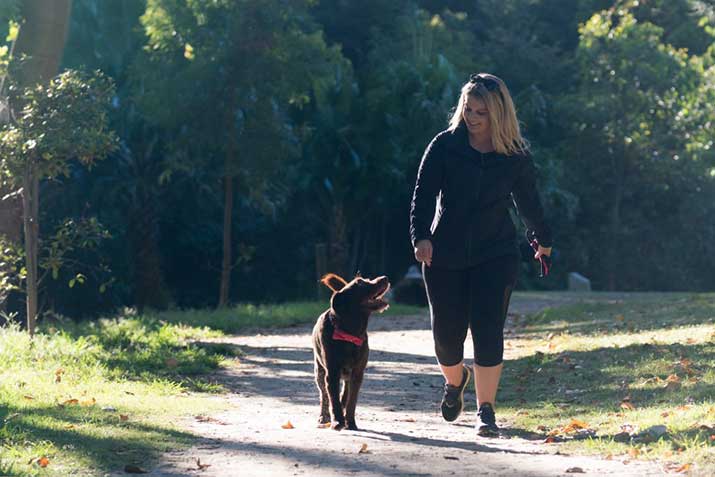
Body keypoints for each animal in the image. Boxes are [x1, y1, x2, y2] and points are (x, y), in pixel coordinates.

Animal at [314, 272, 392, 432]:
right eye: (360, 283)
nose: (385, 278)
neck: (350, 332)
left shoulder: (357, 374)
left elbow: (351, 402)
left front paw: (350, 422)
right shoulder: (332, 373)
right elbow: (333, 400)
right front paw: (337, 421)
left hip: (347, 376)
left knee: (345, 394)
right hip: (320, 372)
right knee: (324, 395)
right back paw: (324, 417)